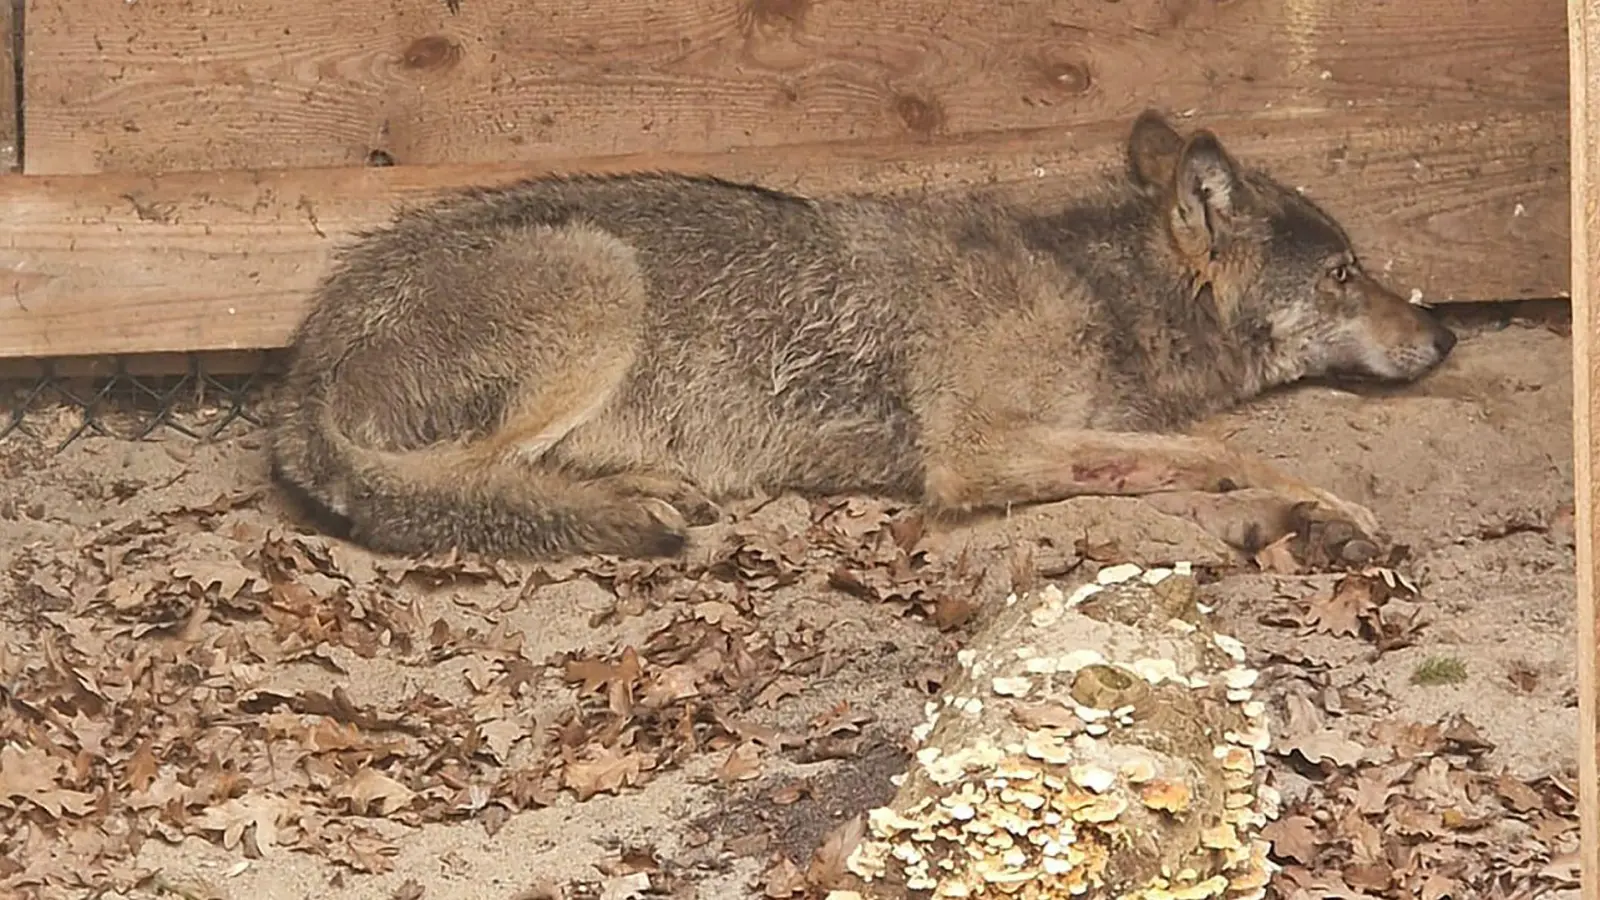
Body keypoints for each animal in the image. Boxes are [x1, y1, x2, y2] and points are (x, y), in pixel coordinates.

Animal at [265, 110, 1457, 561]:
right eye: (1346, 274)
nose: (1445, 334)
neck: (1097, 290)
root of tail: (300, 370)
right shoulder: (974, 456)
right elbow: (1225, 451)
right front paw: (1325, 507)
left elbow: (1182, 461)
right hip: (601, 279)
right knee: (452, 488)